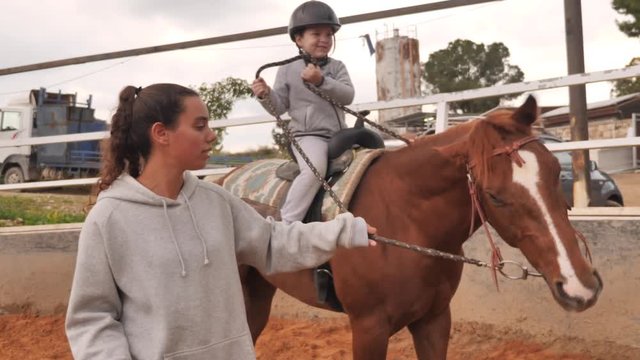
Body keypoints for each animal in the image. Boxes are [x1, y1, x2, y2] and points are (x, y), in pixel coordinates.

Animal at [232, 95, 604, 358]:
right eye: (495, 197)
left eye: (555, 172)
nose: (580, 287)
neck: (406, 224)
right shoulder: (368, 329)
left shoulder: (434, 321)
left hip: (260, 292)